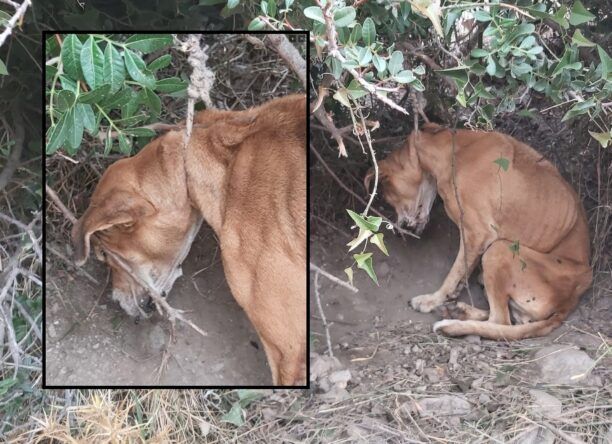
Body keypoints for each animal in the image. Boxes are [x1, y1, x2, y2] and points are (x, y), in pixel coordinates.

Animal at [366, 122, 592, 340]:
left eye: (389, 197)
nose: (399, 231)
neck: (454, 151)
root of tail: (570, 301)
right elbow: (464, 270)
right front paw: (452, 294)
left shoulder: (477, 233)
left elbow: (453, 273)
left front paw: (432, 300)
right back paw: (458, 311)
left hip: (499, 250)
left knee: (501, 322)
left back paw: (455, 323)